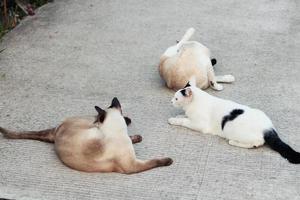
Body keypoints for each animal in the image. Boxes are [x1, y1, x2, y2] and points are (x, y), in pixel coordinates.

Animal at [0, 97, 173, 173]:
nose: (96, 121)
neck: (114, 130)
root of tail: (55, 131)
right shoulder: (132, 165)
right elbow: (155, 161)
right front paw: (169, 160)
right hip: (88, 121)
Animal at [169, 79, 300, 163]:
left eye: (176, 98)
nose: (171, 101)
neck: (194, 104)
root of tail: (268, 128)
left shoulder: (200, 125)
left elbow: (184, 122)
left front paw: (174, 120)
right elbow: (184, 116)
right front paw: (179, 116)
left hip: (234, 131)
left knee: (256, 143)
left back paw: (233, 142)